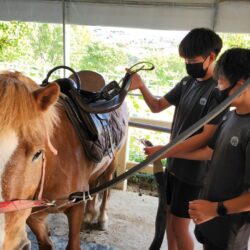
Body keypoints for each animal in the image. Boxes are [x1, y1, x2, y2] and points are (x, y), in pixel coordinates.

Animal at [0, 71, 129, 250]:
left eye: (38, 153)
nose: (7, 243)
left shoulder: (75, 206)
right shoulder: (34, 217)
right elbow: (46, 244)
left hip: (113, 161)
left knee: (105, 187)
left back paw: (101, 217)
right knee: (94, 183)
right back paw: (90, 214)